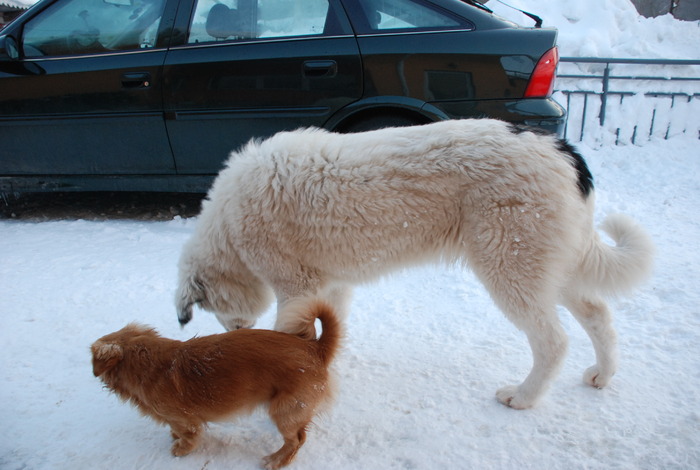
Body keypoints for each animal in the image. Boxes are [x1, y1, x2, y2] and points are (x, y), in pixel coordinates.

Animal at [91, 302, 340, 470]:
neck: (149, 364)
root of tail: (315, 348)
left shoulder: (185, 421)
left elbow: (188, 437)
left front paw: (179, 448)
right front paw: (173, 436)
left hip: (285, 410)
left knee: (296, 440)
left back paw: (276, 460)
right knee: (301, 435)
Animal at [174, 119, 652, 410]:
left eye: (213, 310)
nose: (235, 333)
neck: (229, 224)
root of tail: (562, 149)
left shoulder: (296, 288)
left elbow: (292, 337)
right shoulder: (331, 287)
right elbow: (325, 335)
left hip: (511, 269)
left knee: (553, 341)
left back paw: (523, 396)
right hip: (551, 267)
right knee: (599, 315)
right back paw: (602, 375)